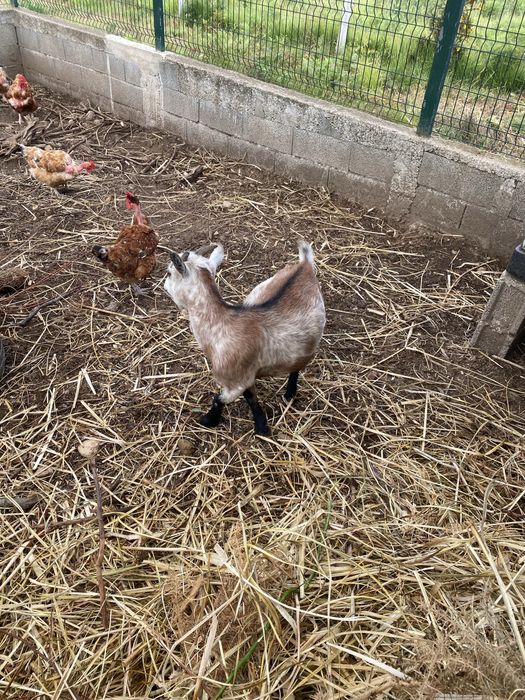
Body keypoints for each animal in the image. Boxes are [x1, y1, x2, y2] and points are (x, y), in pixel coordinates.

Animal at [163, 242, 325, 435]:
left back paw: (290, 393)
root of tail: (304, 265)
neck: (221, 326)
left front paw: (208, 421)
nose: (164, 286)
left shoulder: (234, 382)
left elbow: (218, 399)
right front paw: (261, 424)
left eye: (169, 273)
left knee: (297, 367)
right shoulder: (245, 376)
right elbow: (250, 398)